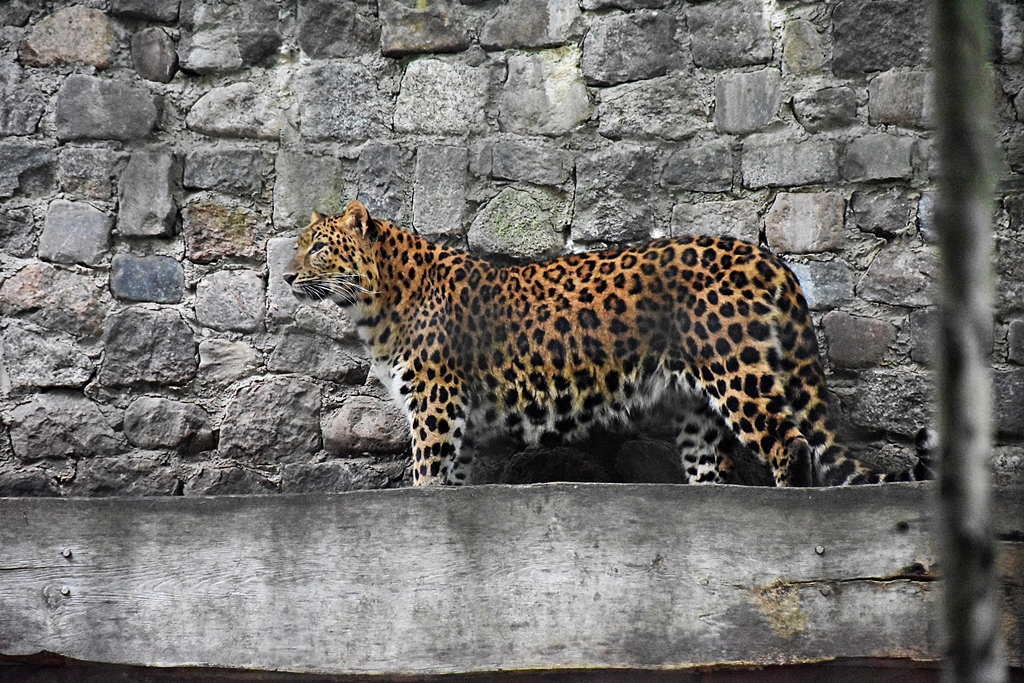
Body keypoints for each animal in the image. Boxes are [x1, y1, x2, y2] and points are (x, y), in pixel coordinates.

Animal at [284, 200, 933, 487]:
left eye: (318, 248)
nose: (287, 277)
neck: (376, 301)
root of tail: (765, 255)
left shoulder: (436, 406)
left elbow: (426, 476)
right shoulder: (457, 415)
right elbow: (453, 483)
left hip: (738, 371)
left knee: (789, 443)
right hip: (698, 404)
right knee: (713, 466)